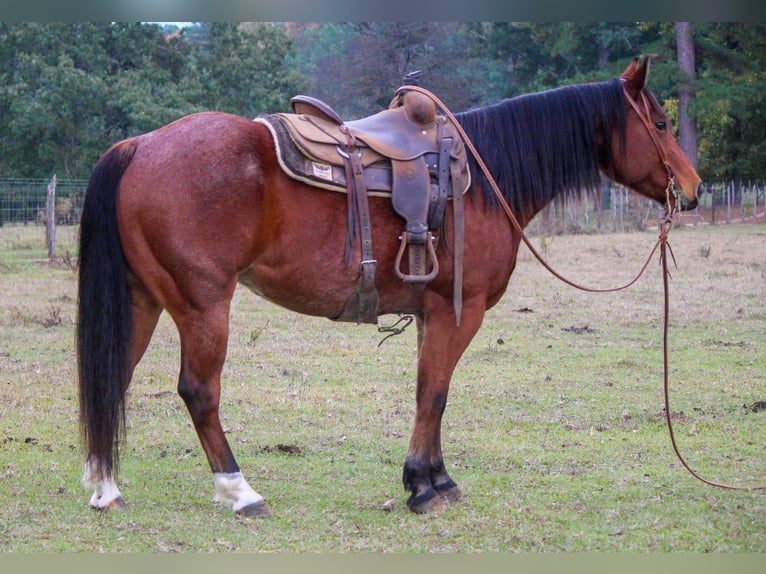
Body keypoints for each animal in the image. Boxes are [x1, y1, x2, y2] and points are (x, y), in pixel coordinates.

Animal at [76, 57, 704, 516]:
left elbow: (431, 393)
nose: (694, 189)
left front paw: (435, 478)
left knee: (115, 375)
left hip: (144, 299)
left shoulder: (431, 314)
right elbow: (435, 393)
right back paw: (240, 491)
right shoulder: (458, 311)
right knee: (199, 392)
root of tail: (139, 146)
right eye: (661, 124)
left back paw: (106, 488)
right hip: (203, 305)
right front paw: (423, 487)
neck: (483, 178)